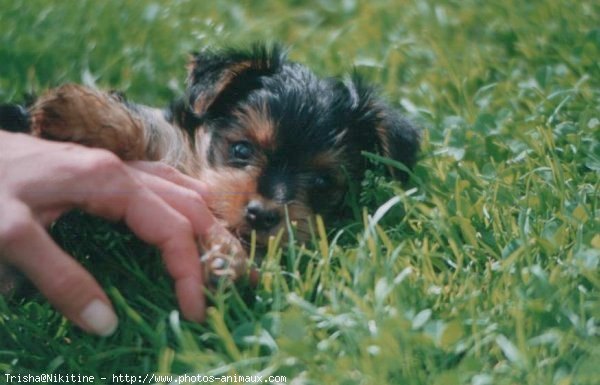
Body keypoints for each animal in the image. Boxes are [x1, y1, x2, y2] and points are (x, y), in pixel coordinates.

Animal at [0, 44, 420, 284]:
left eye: (320, 182)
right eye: (242, 150)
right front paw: (77, 115)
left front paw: (226, 258)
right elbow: (150, 132)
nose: (262, 214)